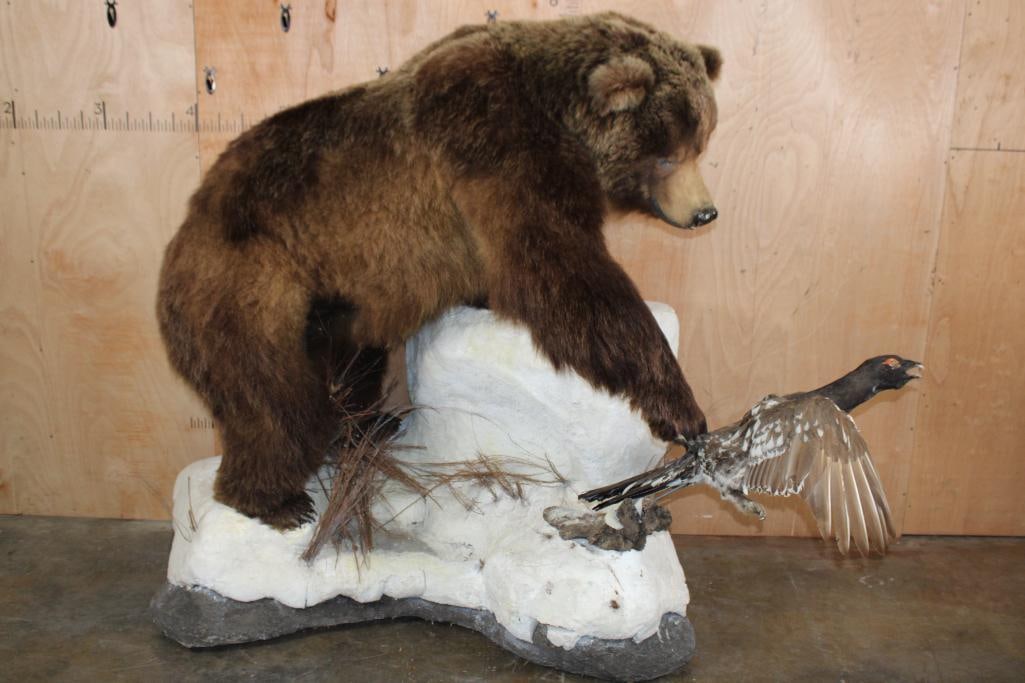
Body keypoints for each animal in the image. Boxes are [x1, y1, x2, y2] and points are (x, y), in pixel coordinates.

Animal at [157, 12, 722, 530]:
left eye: (702, 141)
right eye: (668, 154)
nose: (705, 212)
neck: (554, 107)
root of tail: (183, 231)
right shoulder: (494, 135)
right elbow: (562, 271)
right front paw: (680, 407)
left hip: (335, 299)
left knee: (352, 362)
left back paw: (369, 425)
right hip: (250, 285)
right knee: (276, 402)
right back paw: (277, 501)